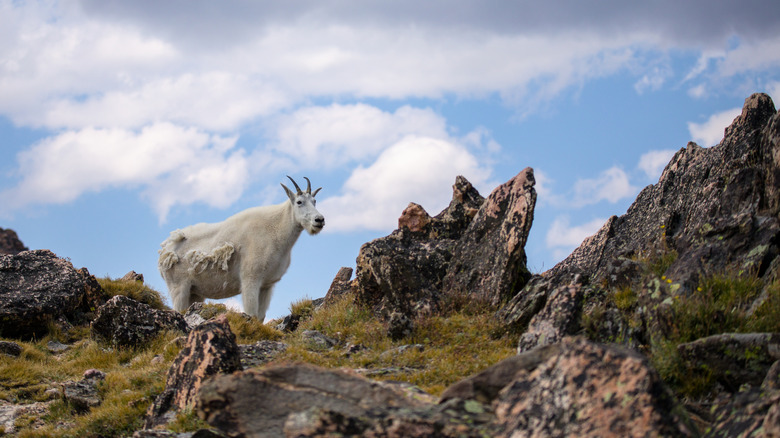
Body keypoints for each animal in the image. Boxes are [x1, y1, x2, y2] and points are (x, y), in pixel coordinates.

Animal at [158, 176, 325, 321]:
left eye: (314, 201)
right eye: (299, 202)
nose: (319, 220)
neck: (278, 230)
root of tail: (165, 250)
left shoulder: (267, 285)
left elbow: (260, 317)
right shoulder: (250, 279)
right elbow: (251, 314)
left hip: (195, 292)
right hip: (178, 287)